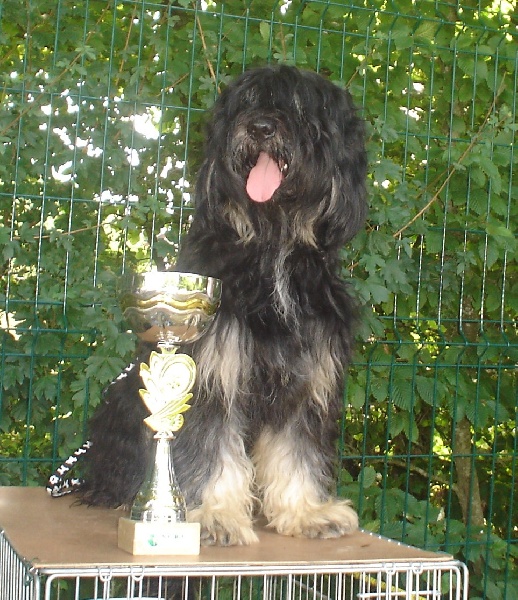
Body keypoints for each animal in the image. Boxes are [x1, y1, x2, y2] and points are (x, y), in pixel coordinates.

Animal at [80, 65, 368, 546]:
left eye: (299, 107)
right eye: (248, 102)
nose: (261, 127)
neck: (272, 248)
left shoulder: (307, 379)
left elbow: (297, 450)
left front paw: (307, 511)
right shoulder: (213, 370)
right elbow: (210, 444)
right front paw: (215, 516)